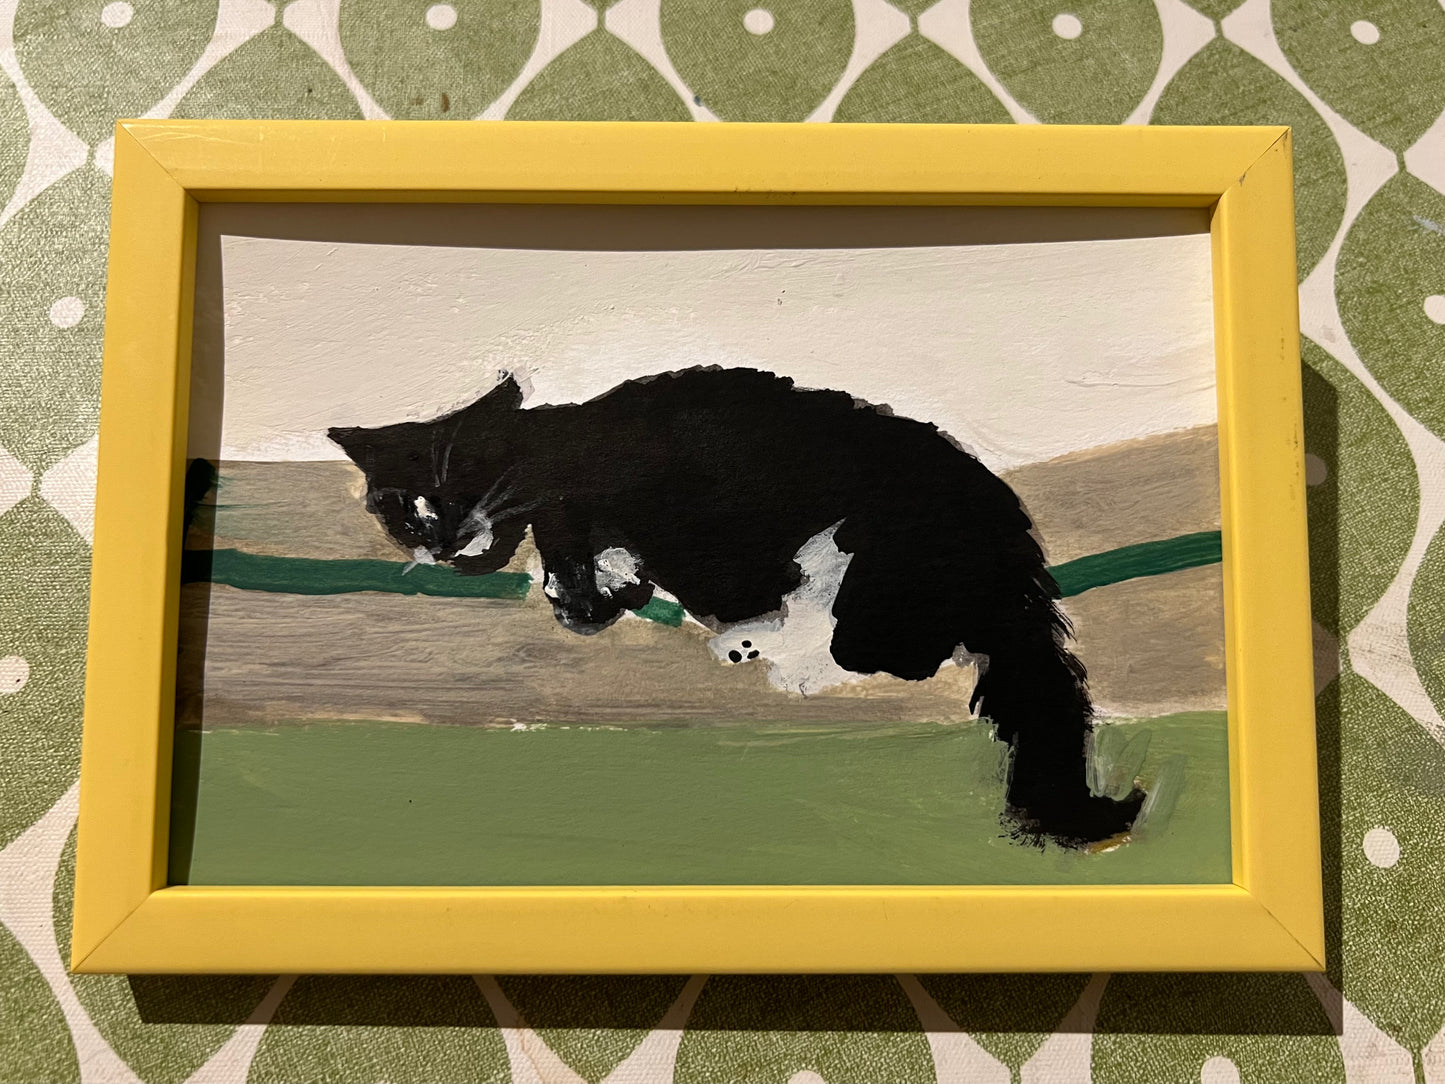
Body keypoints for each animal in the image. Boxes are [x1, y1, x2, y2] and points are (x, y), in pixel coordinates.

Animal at [332, 370, 1144, 844]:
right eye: (402, 507)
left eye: (463, 476)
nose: (440, 537)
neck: (541, 447)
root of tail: (1015, 564)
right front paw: (611, 586)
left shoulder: (574, 499)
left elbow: (573, 566)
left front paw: (584, 597)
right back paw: (747, 639)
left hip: (875, 549)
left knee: (885, 652)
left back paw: (778, 658)